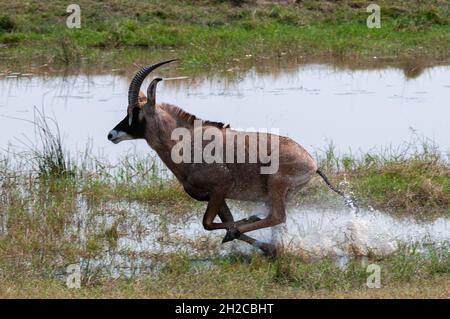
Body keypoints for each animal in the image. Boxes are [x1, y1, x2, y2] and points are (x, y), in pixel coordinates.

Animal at [108, 60, 348, 256]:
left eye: (136, 111)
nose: (111, 135)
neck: (185, 140)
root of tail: (313, 163)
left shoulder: (221, 186)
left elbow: (207, 223)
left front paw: (244, 227)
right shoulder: (215, 196)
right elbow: (225, 221)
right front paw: (258, 243)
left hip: (276, 186)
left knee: (277, 217)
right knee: (276, 221)